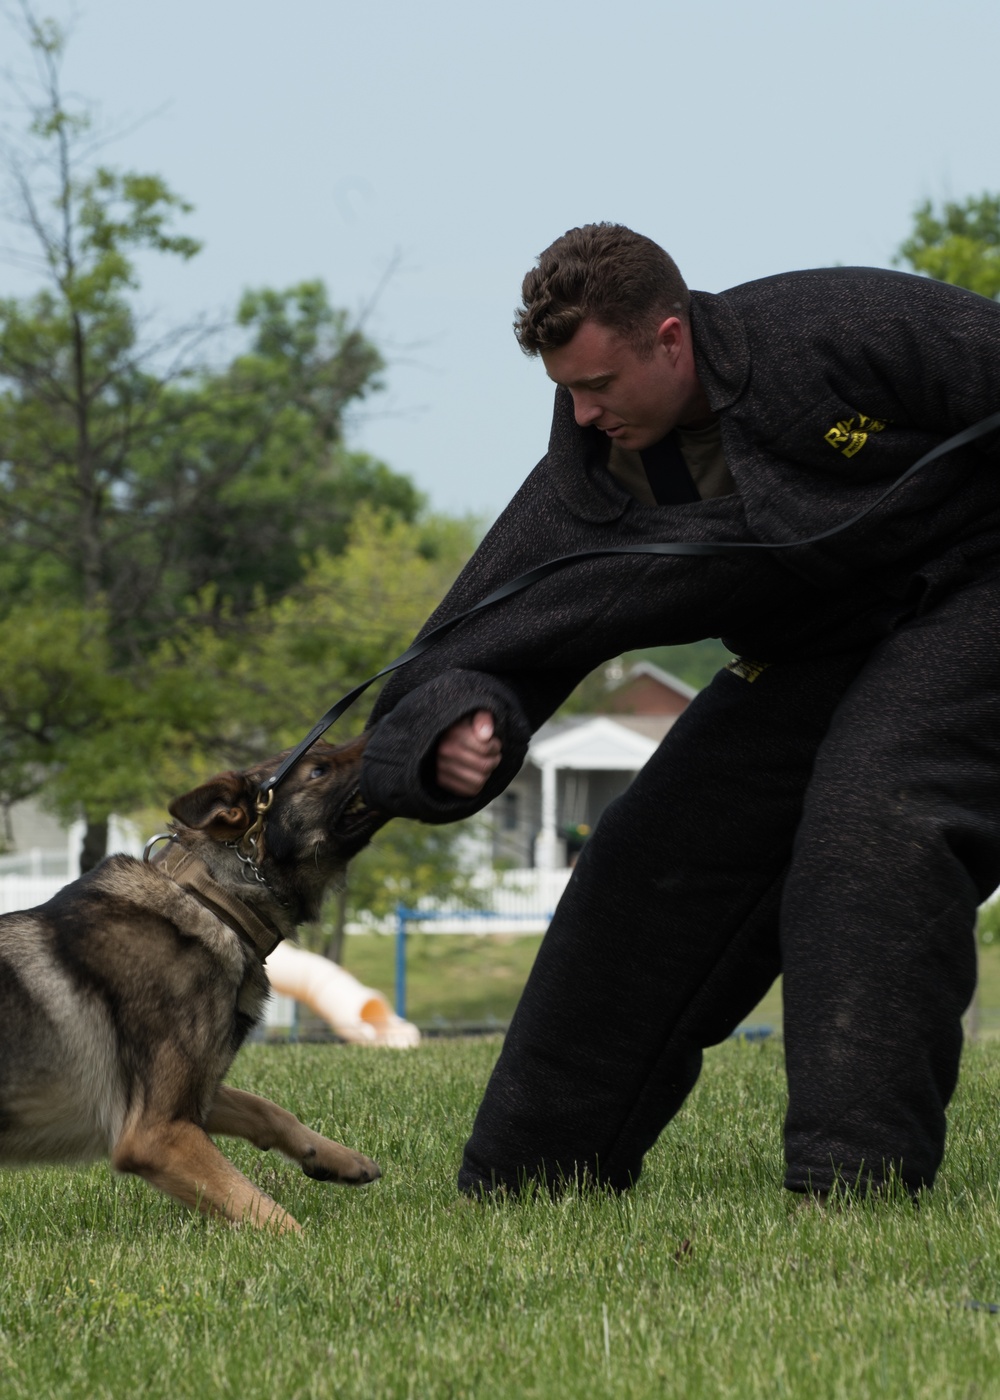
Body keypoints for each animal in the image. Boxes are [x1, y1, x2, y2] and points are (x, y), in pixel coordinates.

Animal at [0, 733, 386, 1237]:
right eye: (318, 769)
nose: (381, 729)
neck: (212, 900)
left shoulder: (193, 1098)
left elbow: (267, 1109)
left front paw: (336, 1158)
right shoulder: (155, 1133)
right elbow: (266, 1211)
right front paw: (313, 1250)